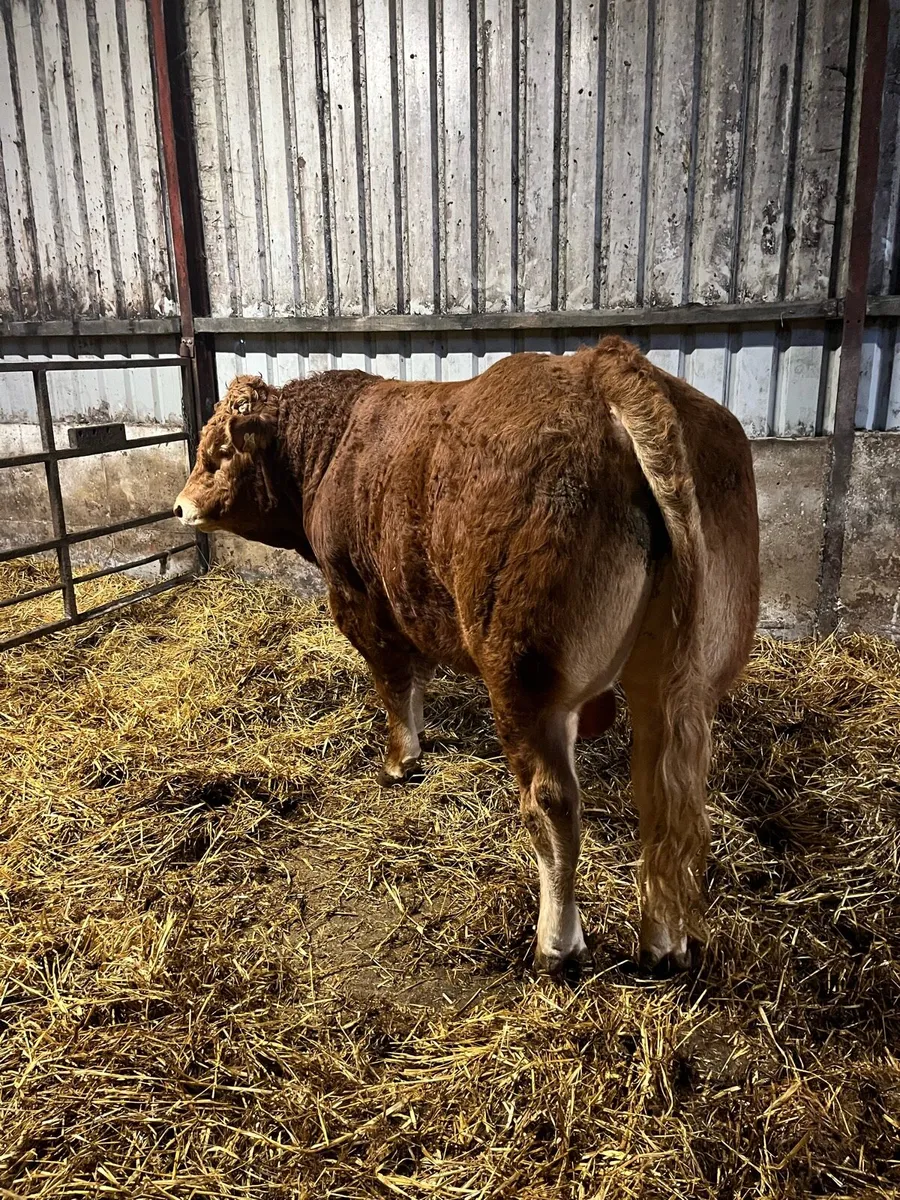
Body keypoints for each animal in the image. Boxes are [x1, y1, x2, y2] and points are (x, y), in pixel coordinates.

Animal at [174, 336, 759, 976]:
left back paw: (556, 945)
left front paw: (400, 762)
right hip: (681, 682)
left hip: (527, 678)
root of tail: (606, 365)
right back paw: (662, 942)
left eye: (218, 451)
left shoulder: (361, 600)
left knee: (553, 804)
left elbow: (395, 685)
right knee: (664, 799)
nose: (179, 506)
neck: (336, 447)